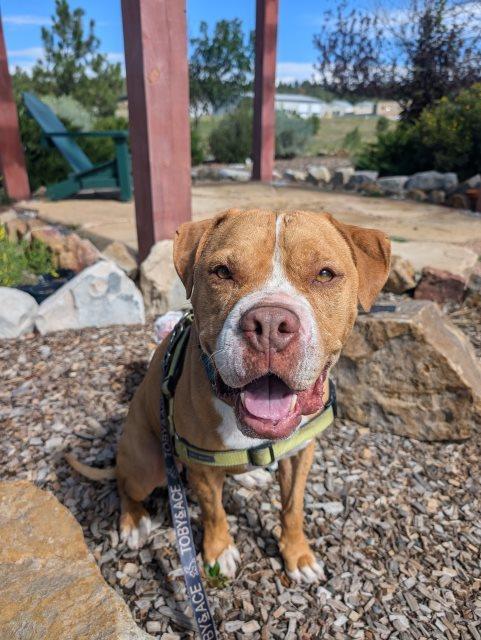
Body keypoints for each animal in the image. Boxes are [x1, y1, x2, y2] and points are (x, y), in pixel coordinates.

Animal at [68, 208, 390, 584]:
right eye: (222, 271)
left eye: (325, 274)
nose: (270, 324)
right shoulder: (201, 466)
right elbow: (214, 511)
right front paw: (219, 552)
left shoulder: (300, 454)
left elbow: (292, 507)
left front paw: (297, 554)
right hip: (147, 466)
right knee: (124, 483)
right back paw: (133, 521)